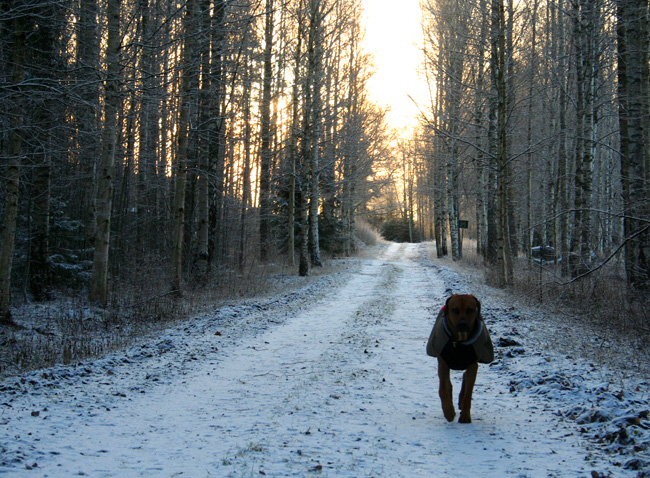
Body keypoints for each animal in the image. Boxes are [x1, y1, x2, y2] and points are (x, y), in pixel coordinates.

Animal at [426, 294, 492, 424]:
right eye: (454, 310)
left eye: (470, 310)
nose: (462, 324)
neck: (460, 341)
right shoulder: (443, 363)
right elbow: (443, 389)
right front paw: (448, 411)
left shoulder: (472, 364)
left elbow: (468, 393)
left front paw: (465, 415)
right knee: (448, 384)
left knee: (465, 378)